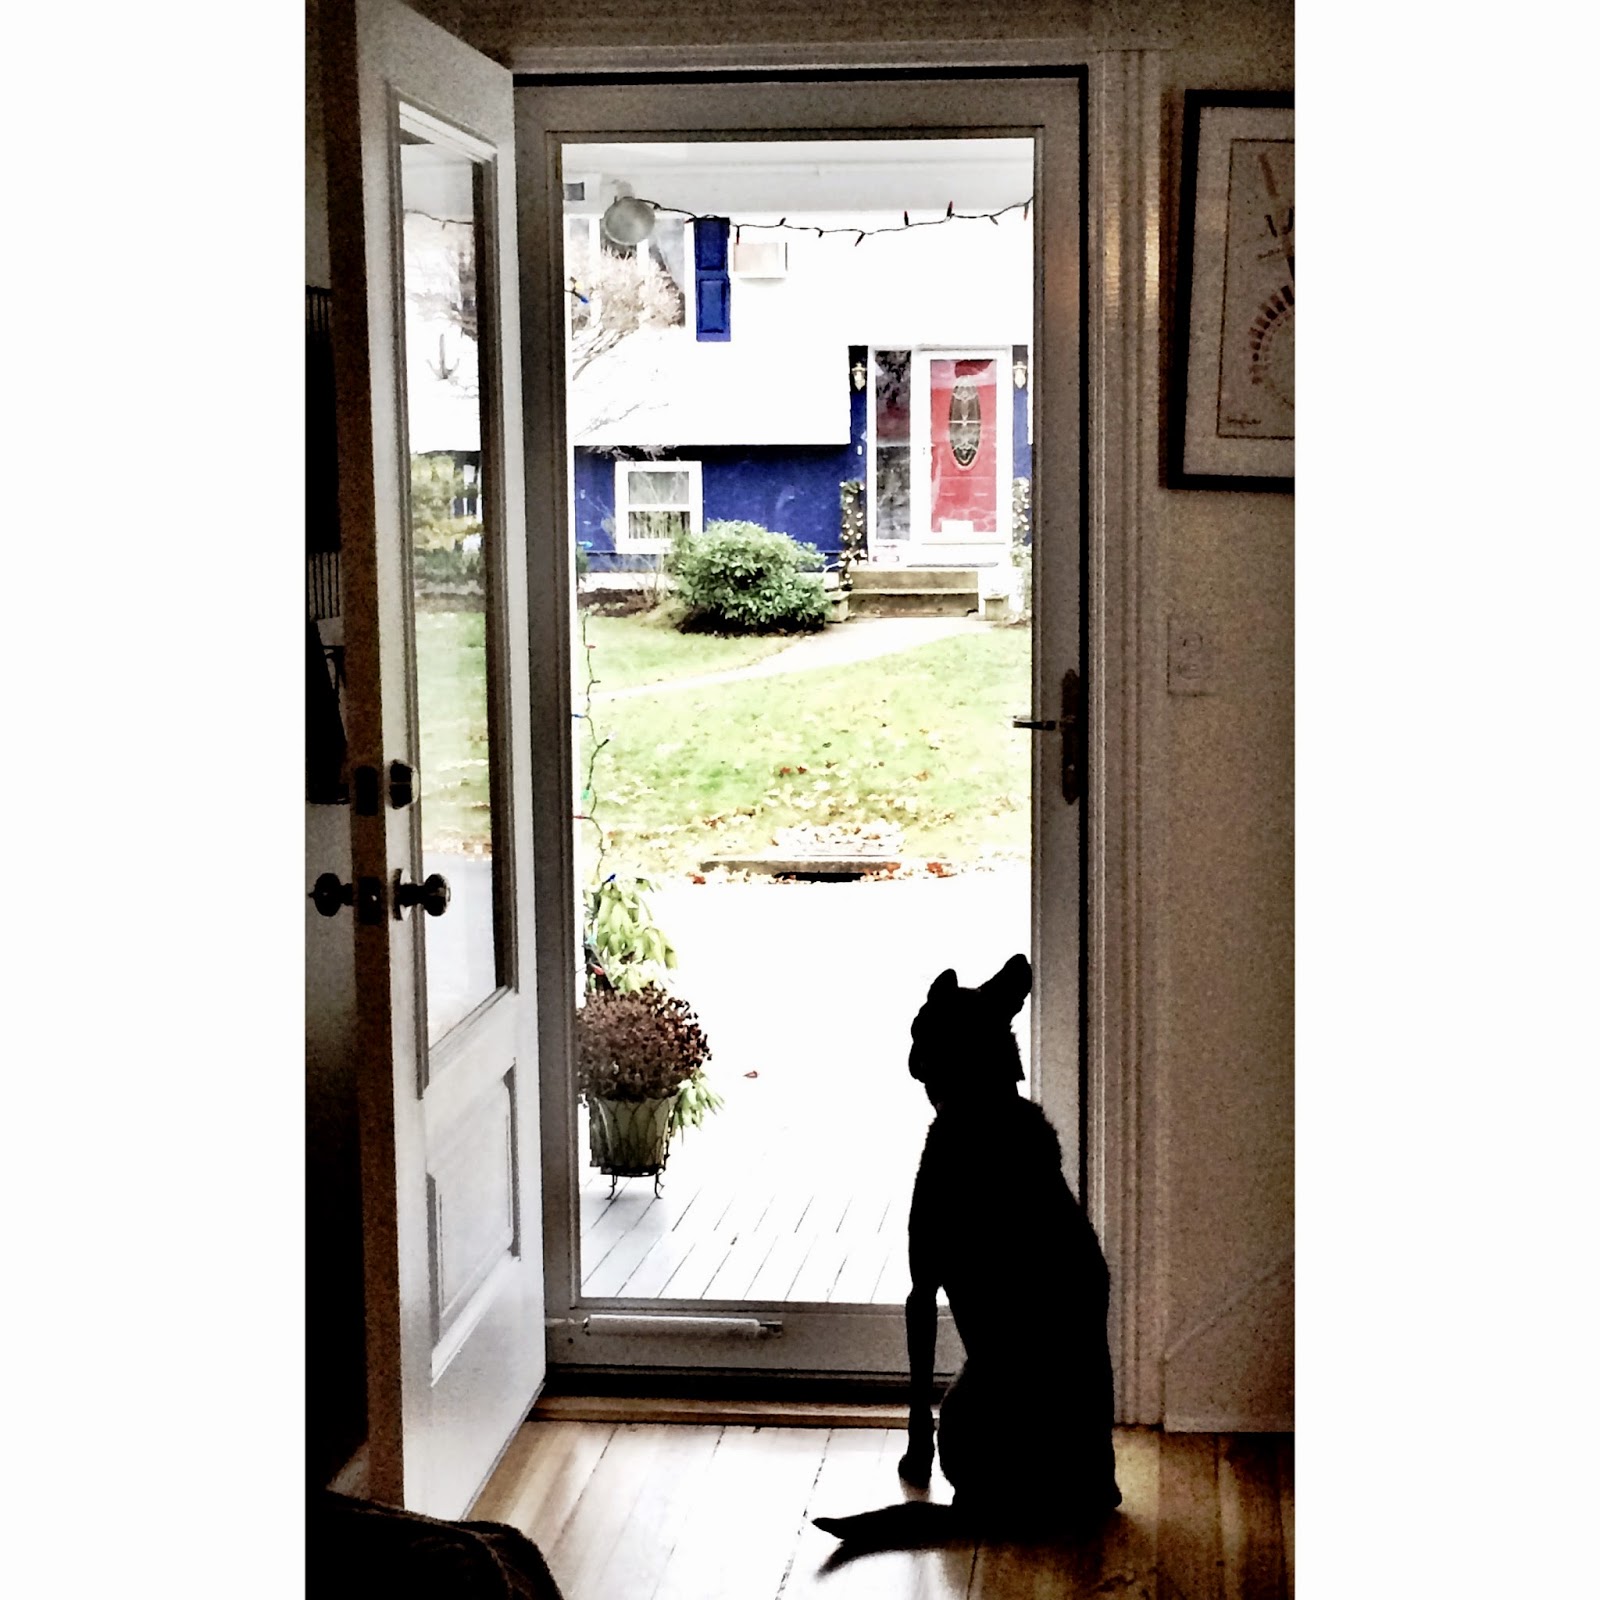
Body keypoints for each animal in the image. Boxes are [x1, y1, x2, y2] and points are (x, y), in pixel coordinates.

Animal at [814, 954, 1120, 1548]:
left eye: (918, 1023)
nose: (908, 1052)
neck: (983, 1105)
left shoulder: (920, 1290)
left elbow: (915, 1396)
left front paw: (914, 1462)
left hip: (959, 1388)